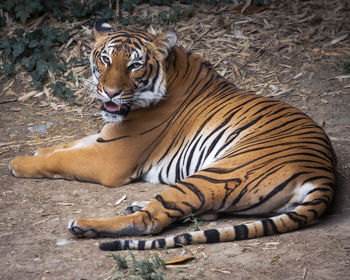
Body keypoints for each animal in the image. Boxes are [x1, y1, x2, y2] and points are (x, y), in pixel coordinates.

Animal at [8, 19, 336, 252]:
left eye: (135, 65)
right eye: (105, 59)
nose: (110, 92)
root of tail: (324, 175)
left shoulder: (110, 158)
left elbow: (62, 160)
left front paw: (17, 163)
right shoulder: (105, 137)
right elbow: (68, 145)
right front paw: (38, 151)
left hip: (218, 172)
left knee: (152, 220)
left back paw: (86, 224)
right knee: (200, 213)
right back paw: (137, 203)